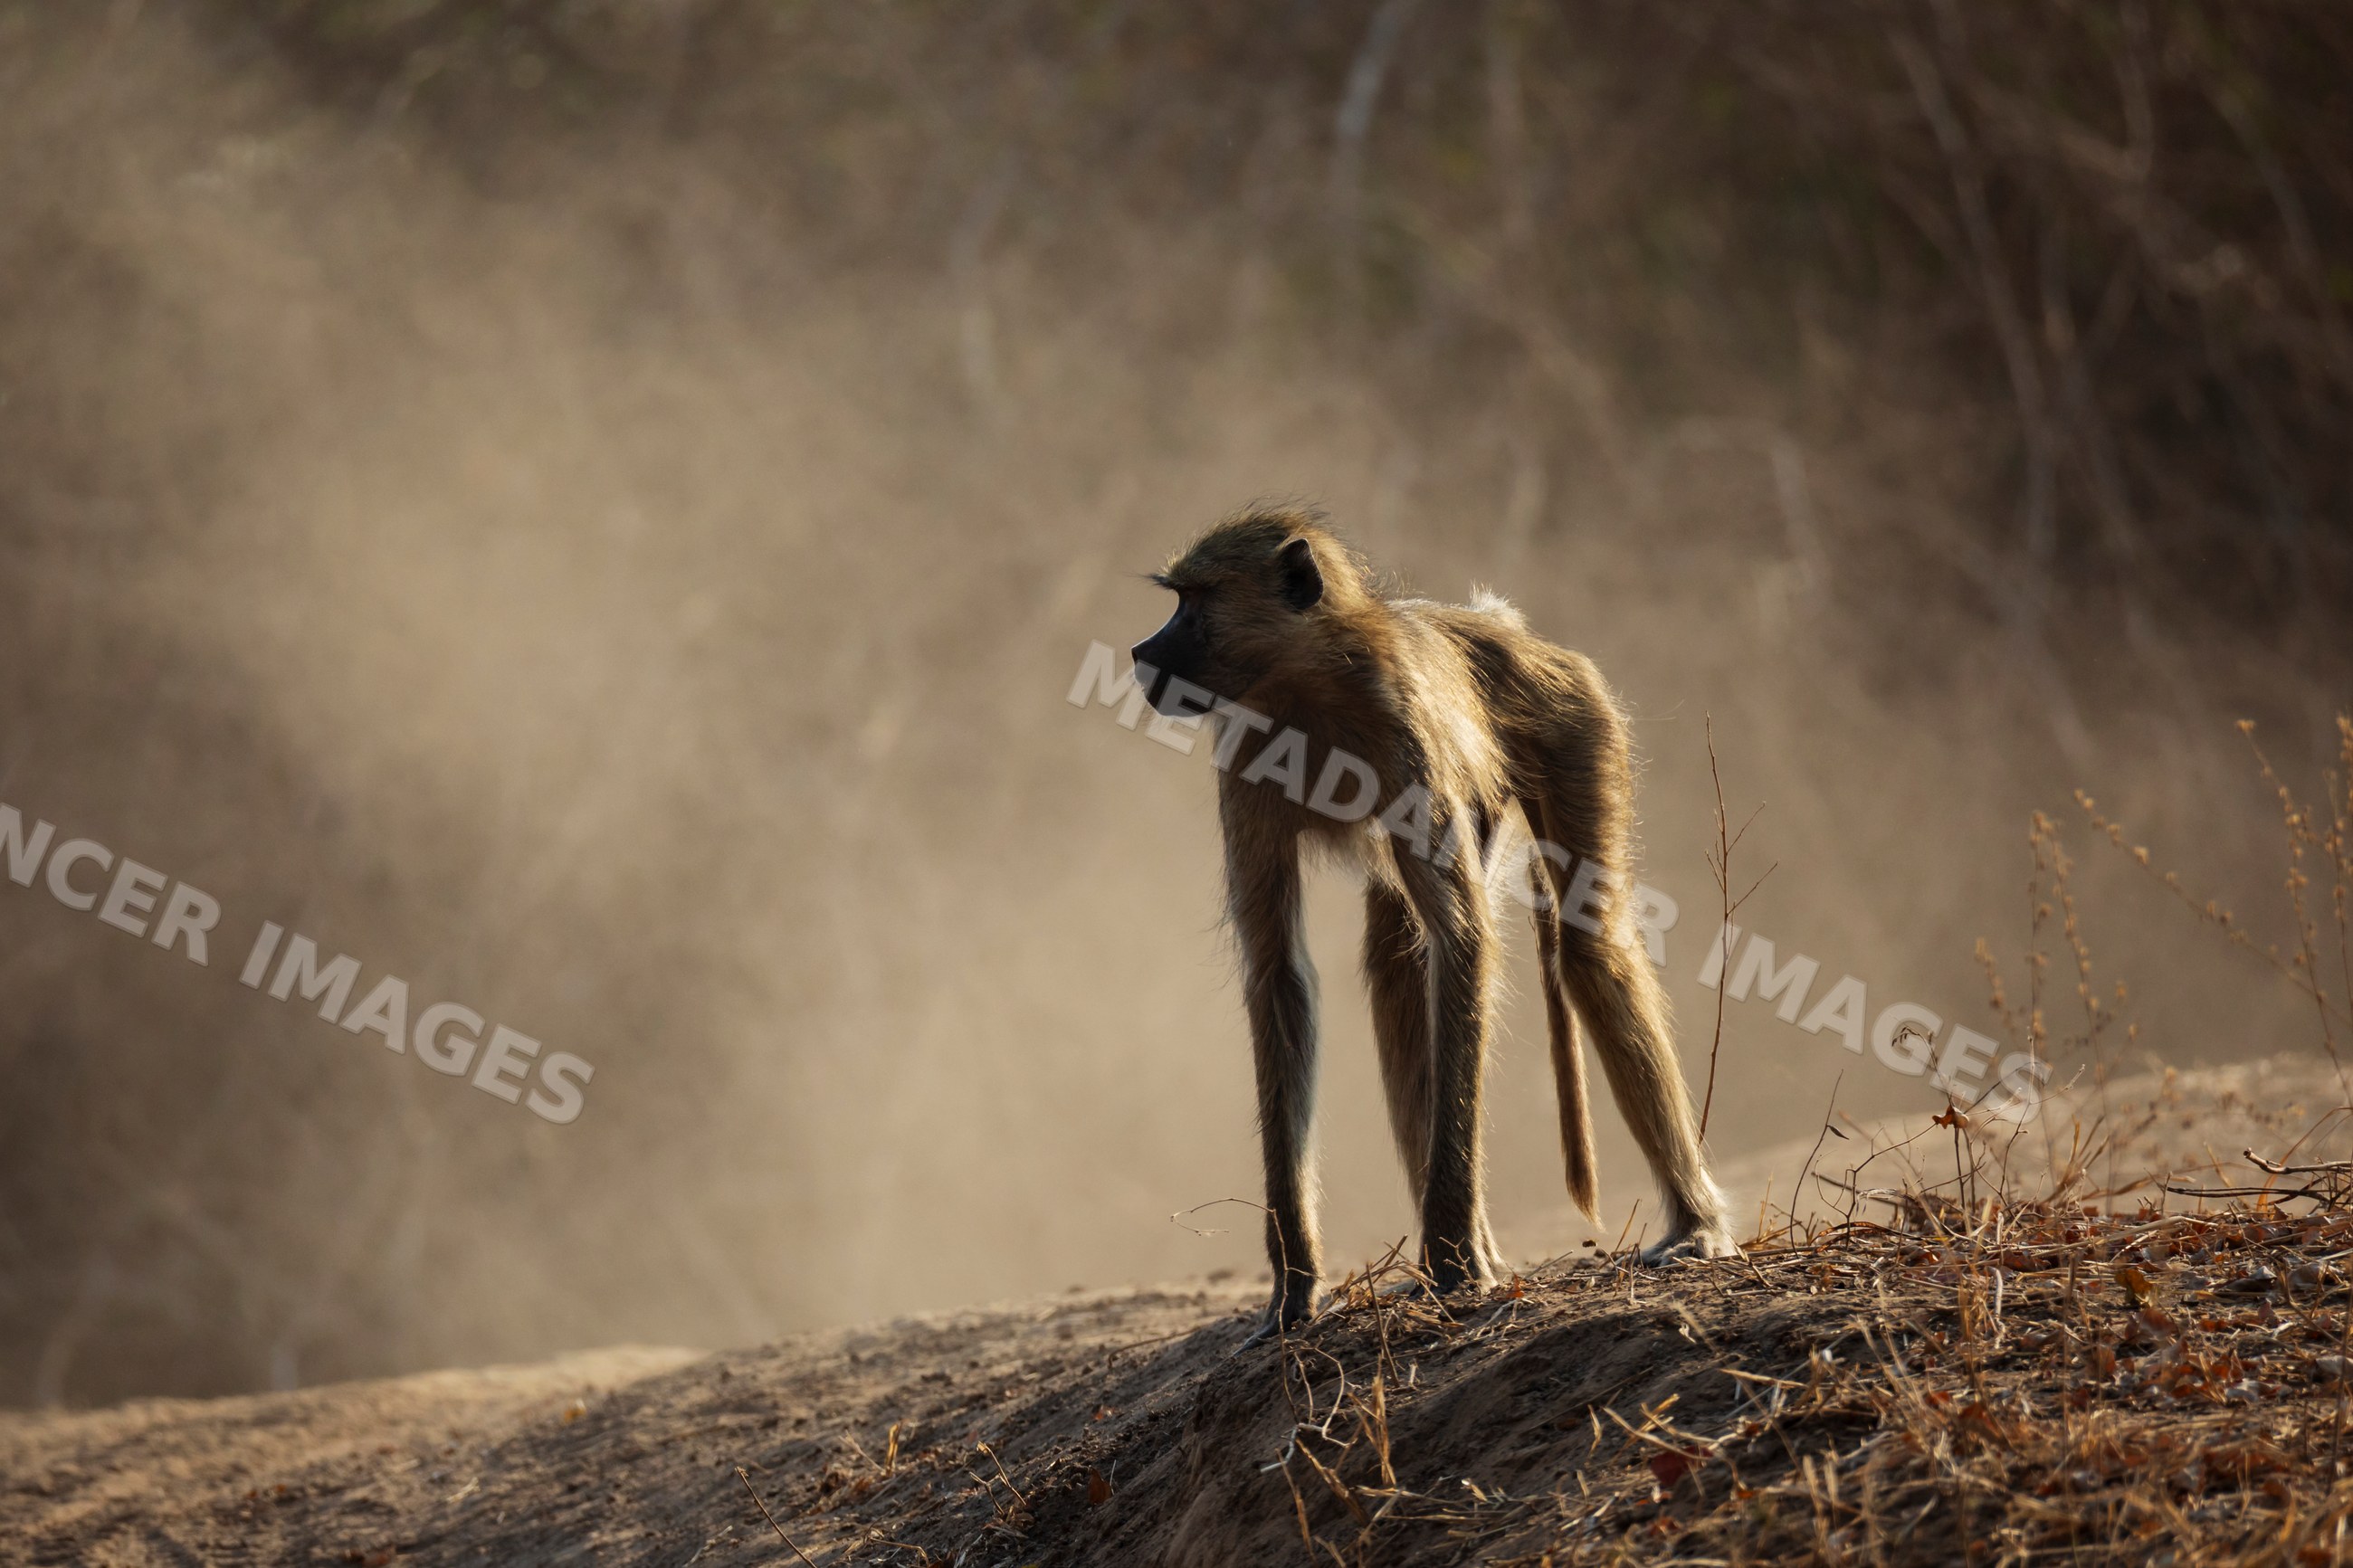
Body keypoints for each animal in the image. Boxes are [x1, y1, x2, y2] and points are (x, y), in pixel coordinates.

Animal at [1130, 505, 1733, 1342]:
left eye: (1193, 603)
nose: (1140, 652)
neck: (1307, 685)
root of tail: (1504, 627)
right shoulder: (1246, 753)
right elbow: (1280, 971)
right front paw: (1295, 1286)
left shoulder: (1404, 735)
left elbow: (1463, 941)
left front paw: (1453, 1262)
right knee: (1395, 962)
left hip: (1576, 719)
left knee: (1586, 946)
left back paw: (1693, 1224)